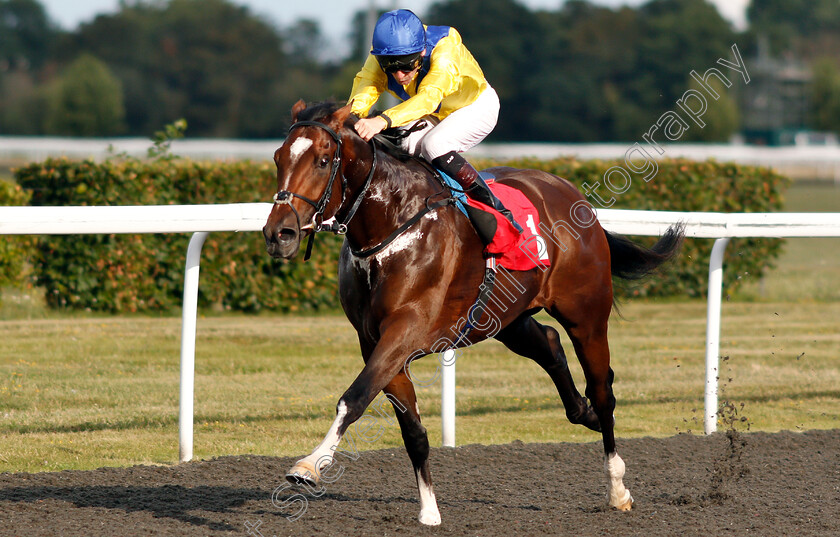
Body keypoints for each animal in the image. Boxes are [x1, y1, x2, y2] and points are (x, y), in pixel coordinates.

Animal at [262, 99, 684, 524]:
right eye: (279, 157)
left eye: (322, 160)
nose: (279, 234)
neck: (392, 224)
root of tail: (572, 194)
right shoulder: (375, 340)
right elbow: (411, 429)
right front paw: (429, 511)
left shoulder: (406, 329)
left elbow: (355, 397)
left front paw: (310, 465)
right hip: (505, 316)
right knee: (549, 344)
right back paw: (584, 414)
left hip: (587, 317)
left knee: (602, 390)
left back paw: (617, 487)